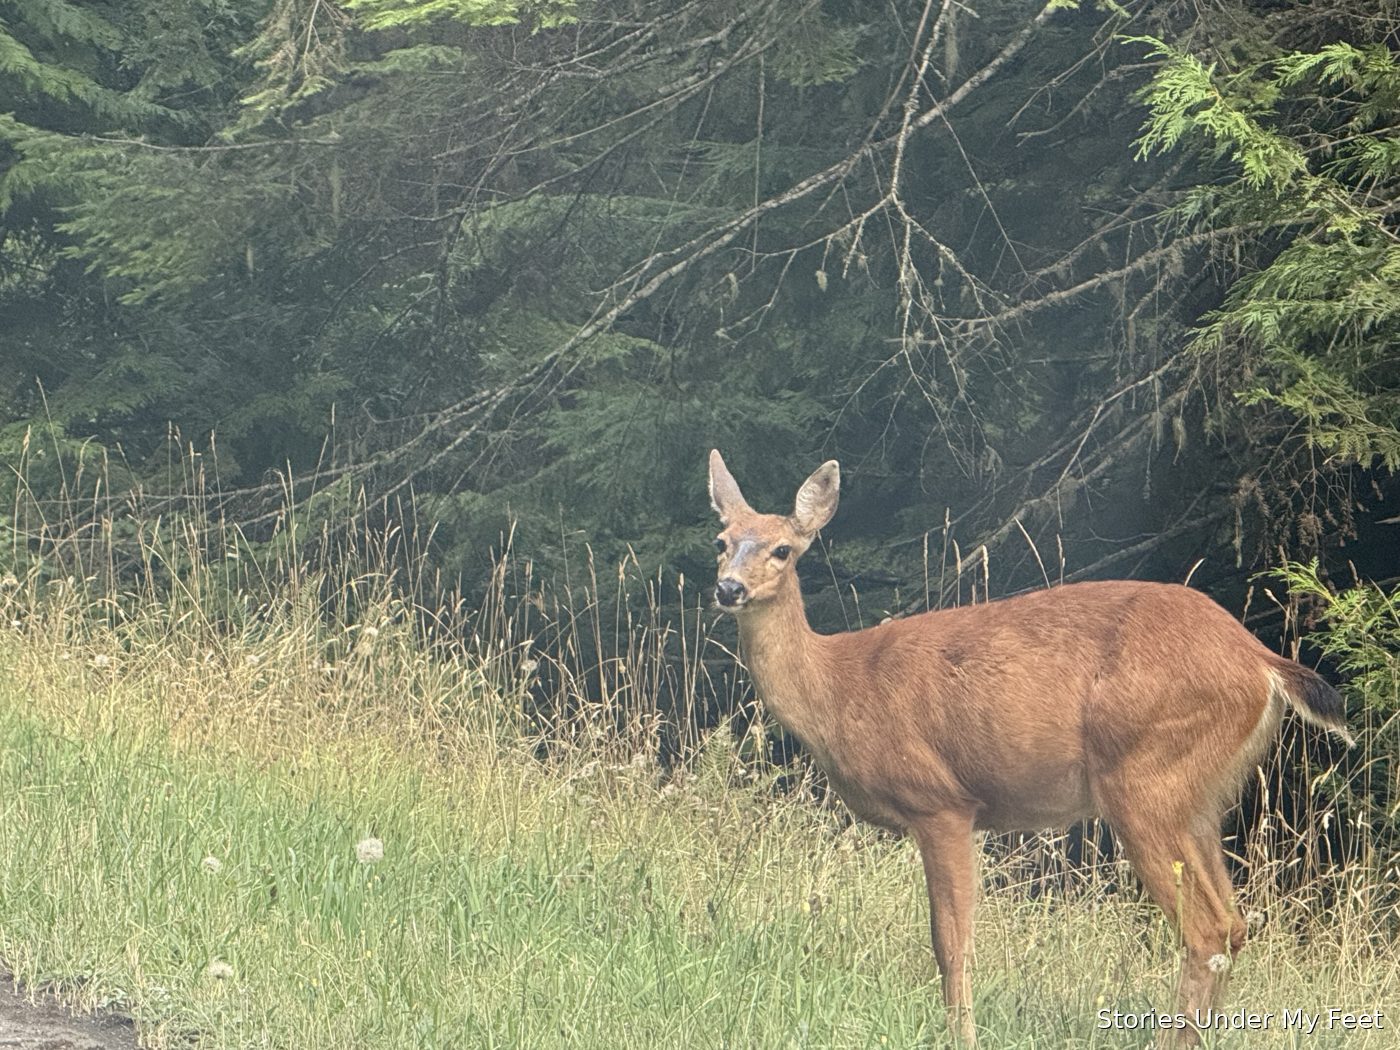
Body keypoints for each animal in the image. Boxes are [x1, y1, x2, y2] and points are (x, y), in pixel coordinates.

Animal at [706, 449, 1352, 1047]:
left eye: (782, 550)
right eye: (722, 541)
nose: (728, 588)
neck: (839, 688)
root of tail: (1260, 663)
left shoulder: (940, 802)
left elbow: (951, 941)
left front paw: (962, 1035)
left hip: (1142, 775)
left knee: (1207, 929)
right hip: (1198, 796)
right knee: (1234, 924)